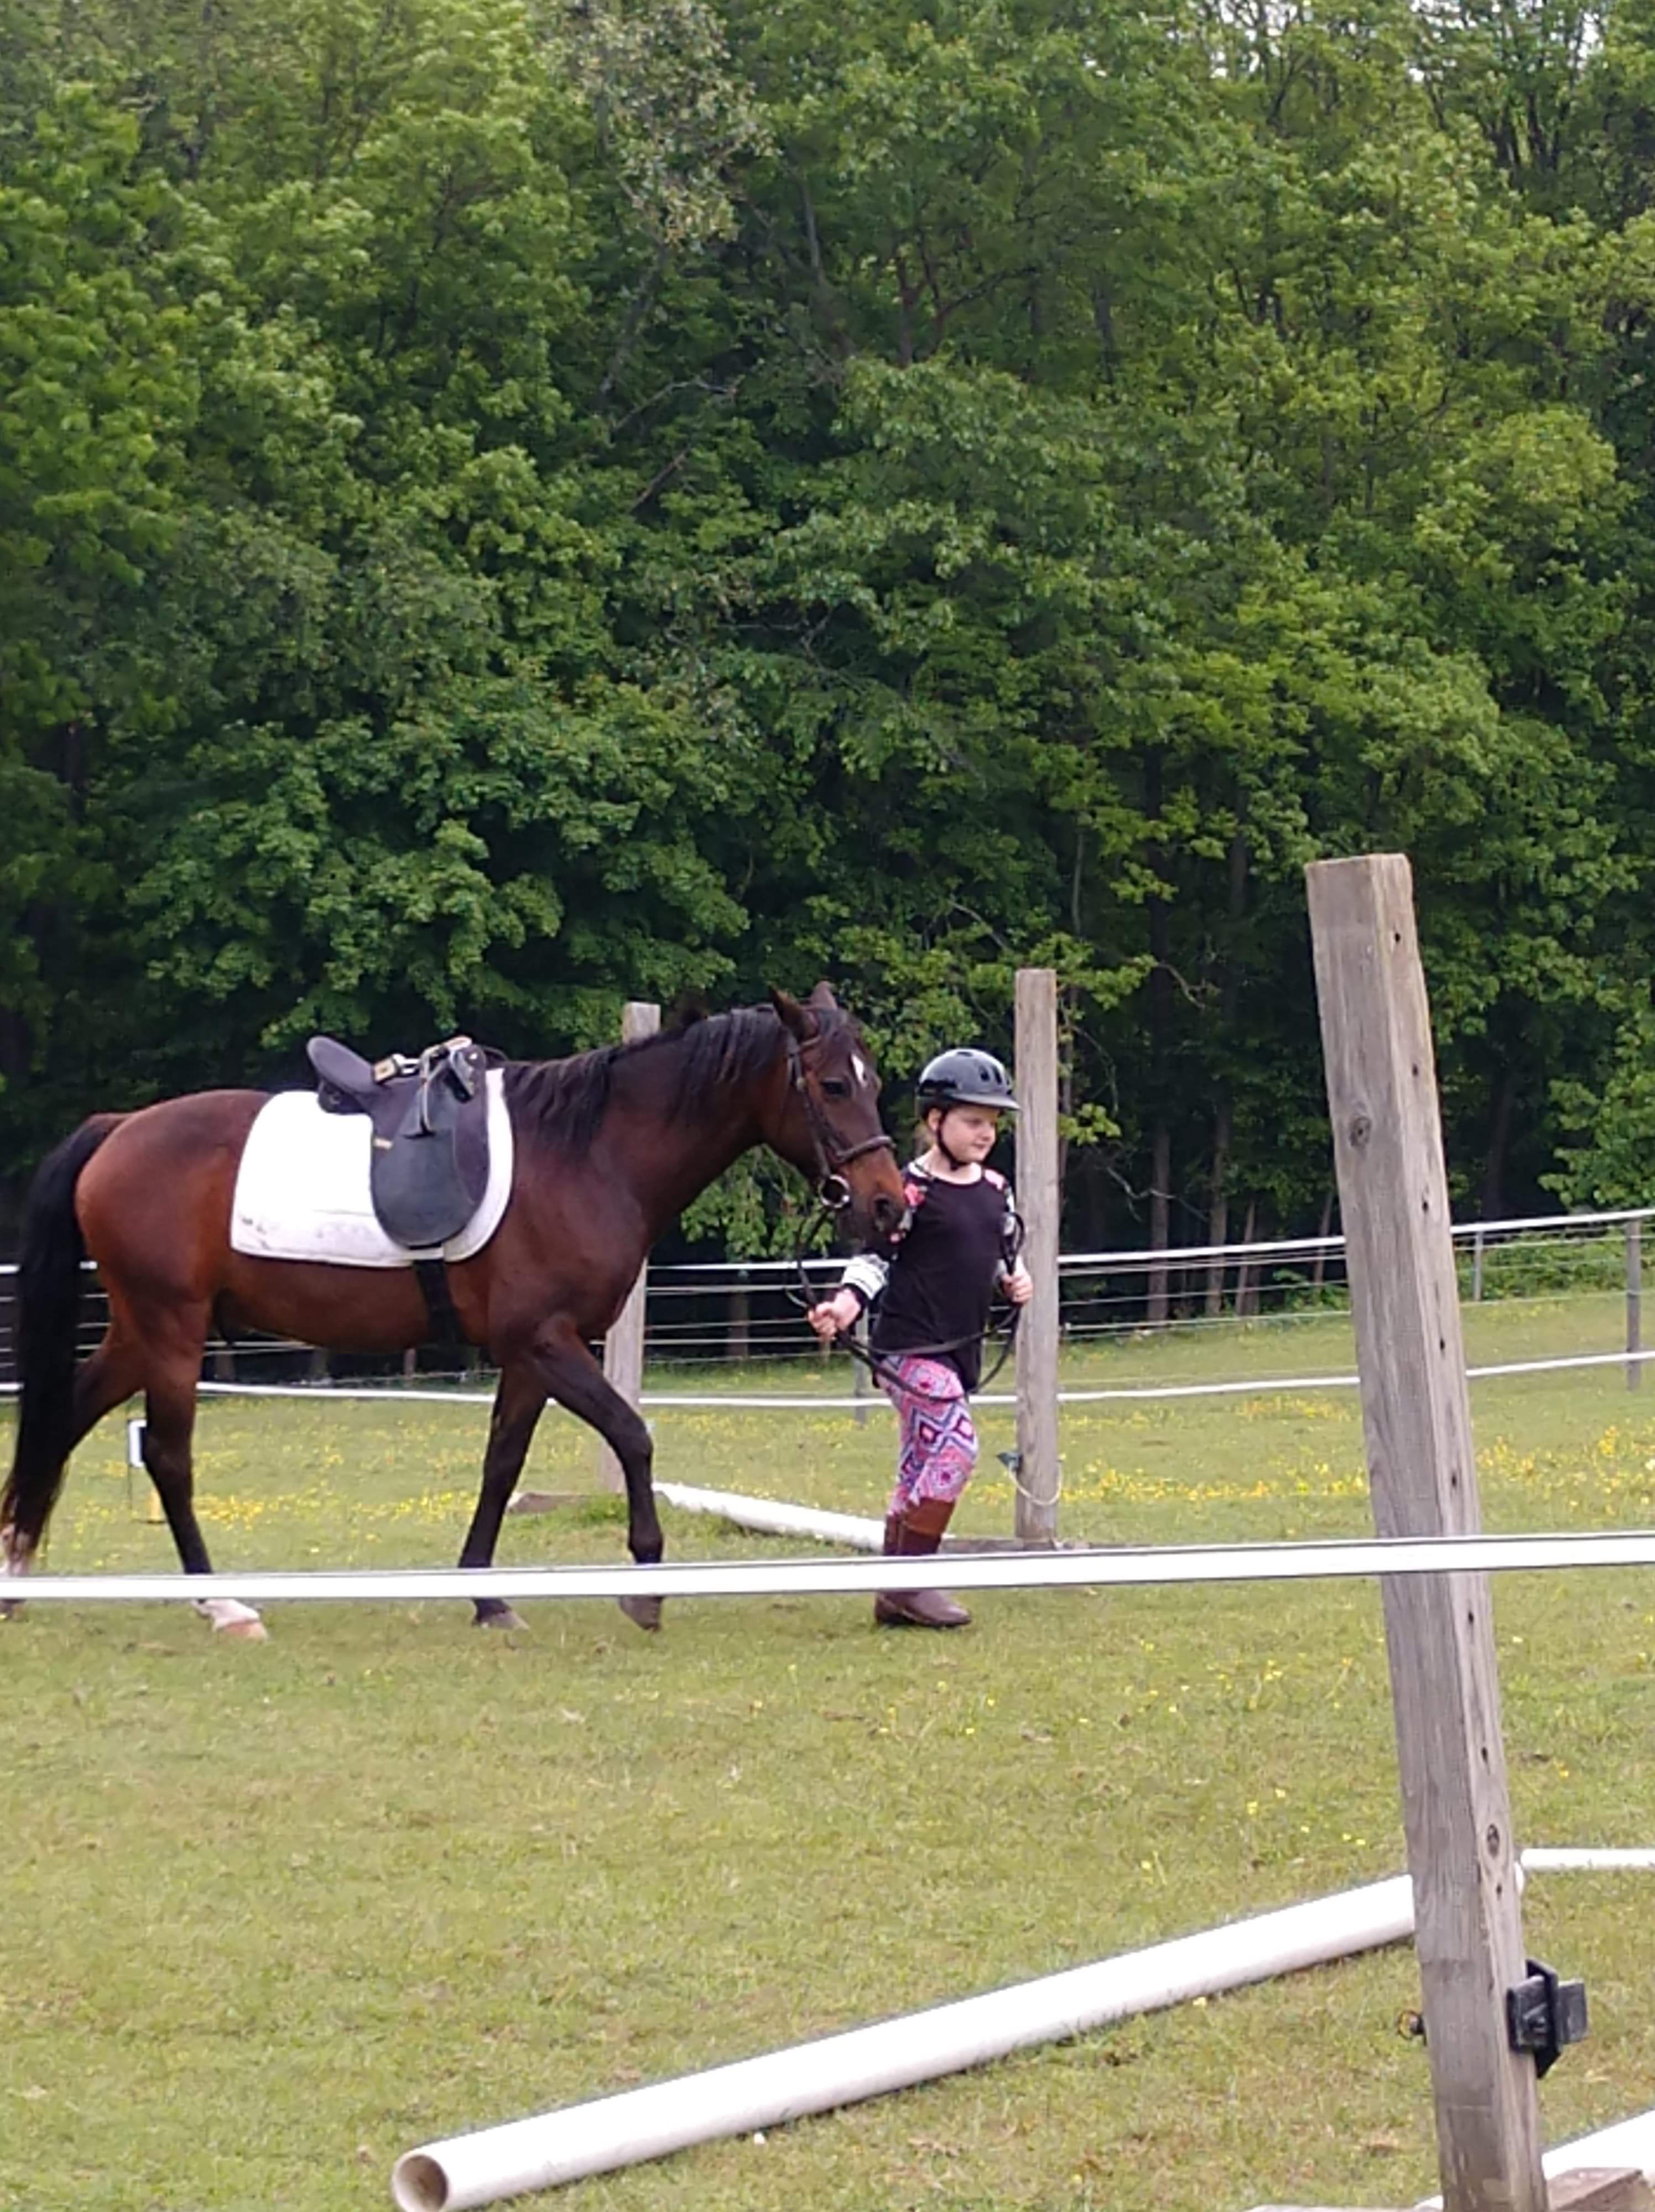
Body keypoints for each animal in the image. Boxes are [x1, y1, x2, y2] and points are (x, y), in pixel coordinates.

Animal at [1, 985, 907, 1639]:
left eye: (875, 1082)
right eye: (833, 1085)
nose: (890, 1206)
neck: (586, 1154)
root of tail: (118, 1130)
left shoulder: (531, 1354)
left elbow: (501, 1463)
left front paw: (484, 1594)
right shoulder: (546, 1342)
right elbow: (633, 1436)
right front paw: (645, 1586)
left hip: (139, 1331)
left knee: (61, 1420)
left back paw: (18, 1573)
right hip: (172, 1332)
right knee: (167, 1458)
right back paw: (222, 1603)